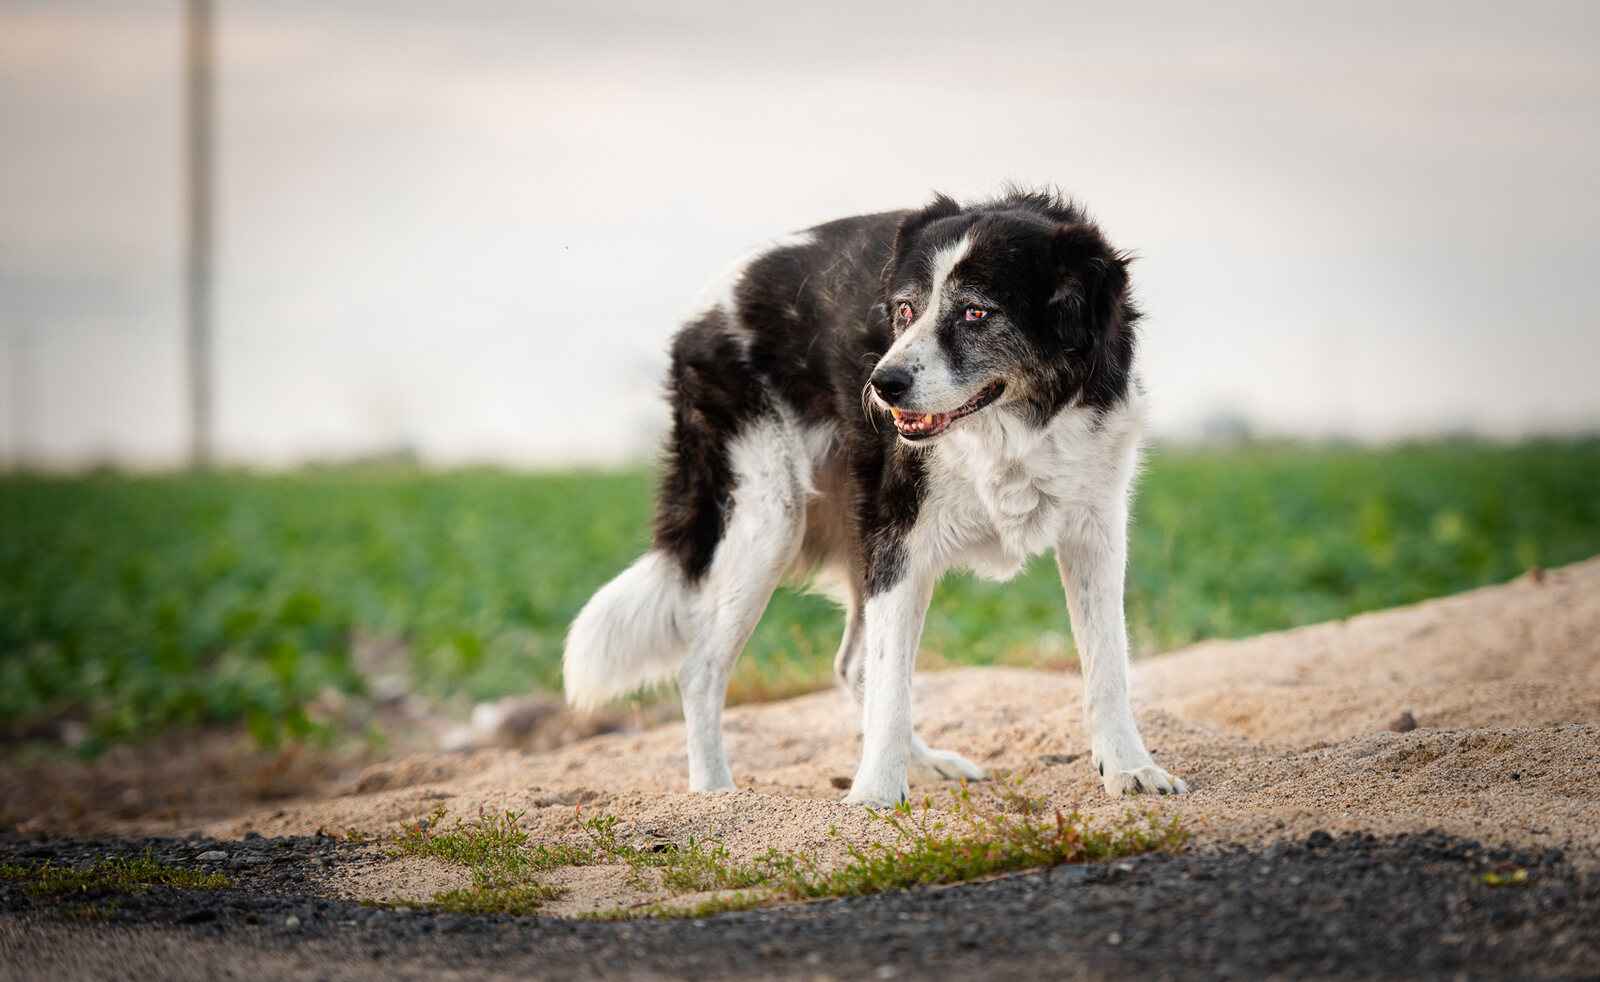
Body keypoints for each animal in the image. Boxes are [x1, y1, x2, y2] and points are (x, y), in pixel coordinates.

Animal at [563, 188, 1190, 802]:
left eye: (976, 312)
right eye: (905, 310)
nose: (882, 385)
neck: (1012, 428)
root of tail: (702, 311)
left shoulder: (1095, 531)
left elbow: (1108, 662)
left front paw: (1129, 768)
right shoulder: (900, 536)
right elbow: (891, 685)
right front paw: (874, 799)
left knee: (852, 665)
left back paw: (926, 765)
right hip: (768, 521)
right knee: (703, 669)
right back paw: (715, 795)